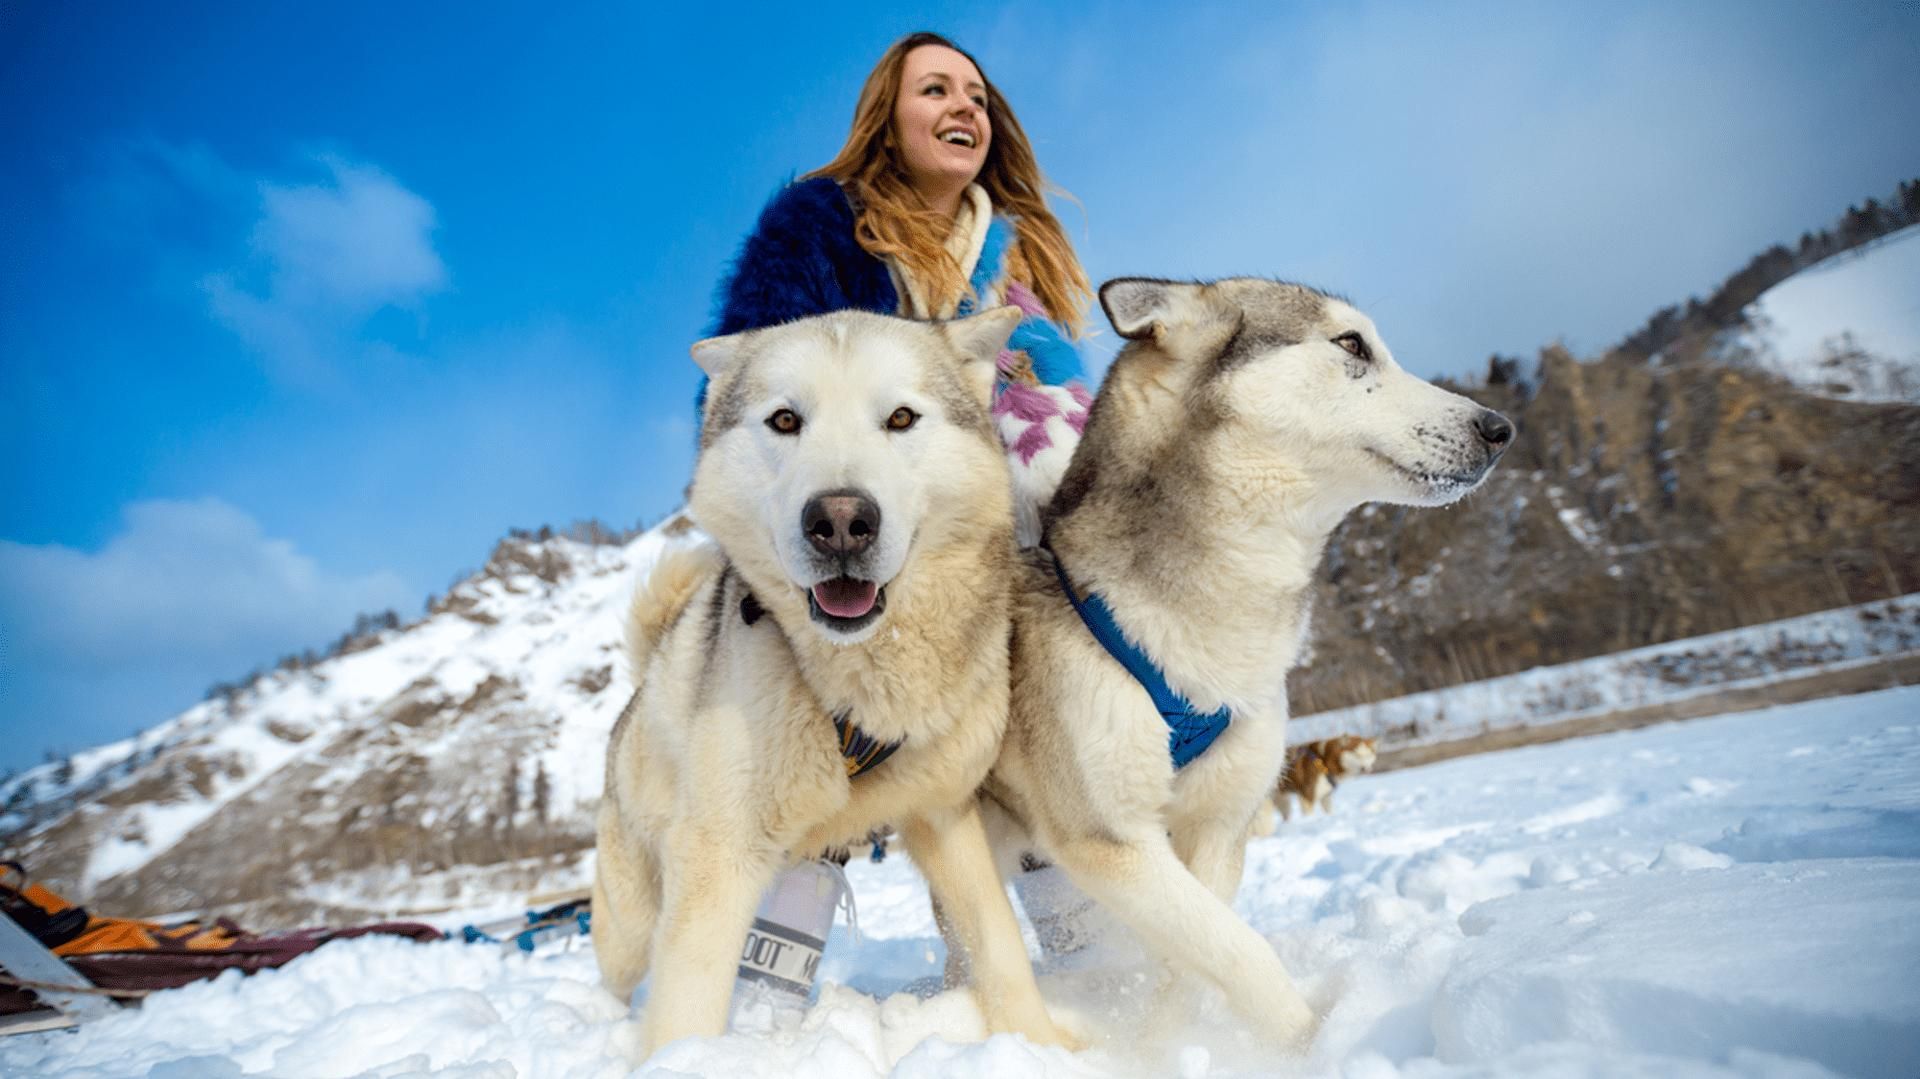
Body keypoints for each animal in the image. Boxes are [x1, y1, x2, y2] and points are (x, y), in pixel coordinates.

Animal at [591, 303, 1075, 1052]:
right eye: (786, 420)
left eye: (901, 417)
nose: (841, 520)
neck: (853, 693)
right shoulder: (717, 855)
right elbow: (686, 1006)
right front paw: (683, 1060)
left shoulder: (945, 817)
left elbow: (998, 942)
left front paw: (1039, 1043)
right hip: (634, 909)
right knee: (614, 974)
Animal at [975, 274, 1512, 1044]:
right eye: (1352, 345)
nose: (1500, 428)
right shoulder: (1110, 839)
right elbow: (1240, 950)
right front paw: (1308, 1044)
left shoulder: (1219, 827)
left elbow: (1193, 961)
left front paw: (1167, 1048)